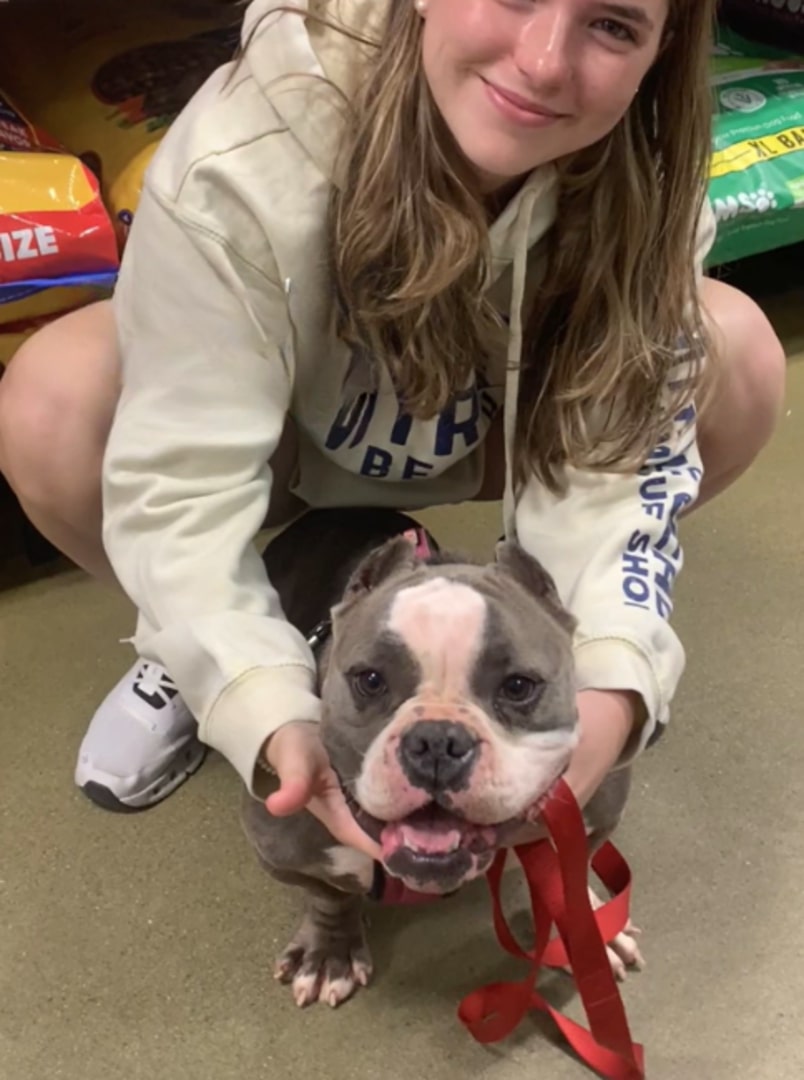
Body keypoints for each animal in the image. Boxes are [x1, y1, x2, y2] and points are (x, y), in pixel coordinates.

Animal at [238, 509, 639, 1006]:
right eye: (370, 680)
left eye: (519, 686)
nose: (436, 742)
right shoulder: (280, 850)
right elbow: (330, 896)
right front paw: (331, 951)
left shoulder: (595, 811)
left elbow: (568, 872)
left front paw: (587, 930)